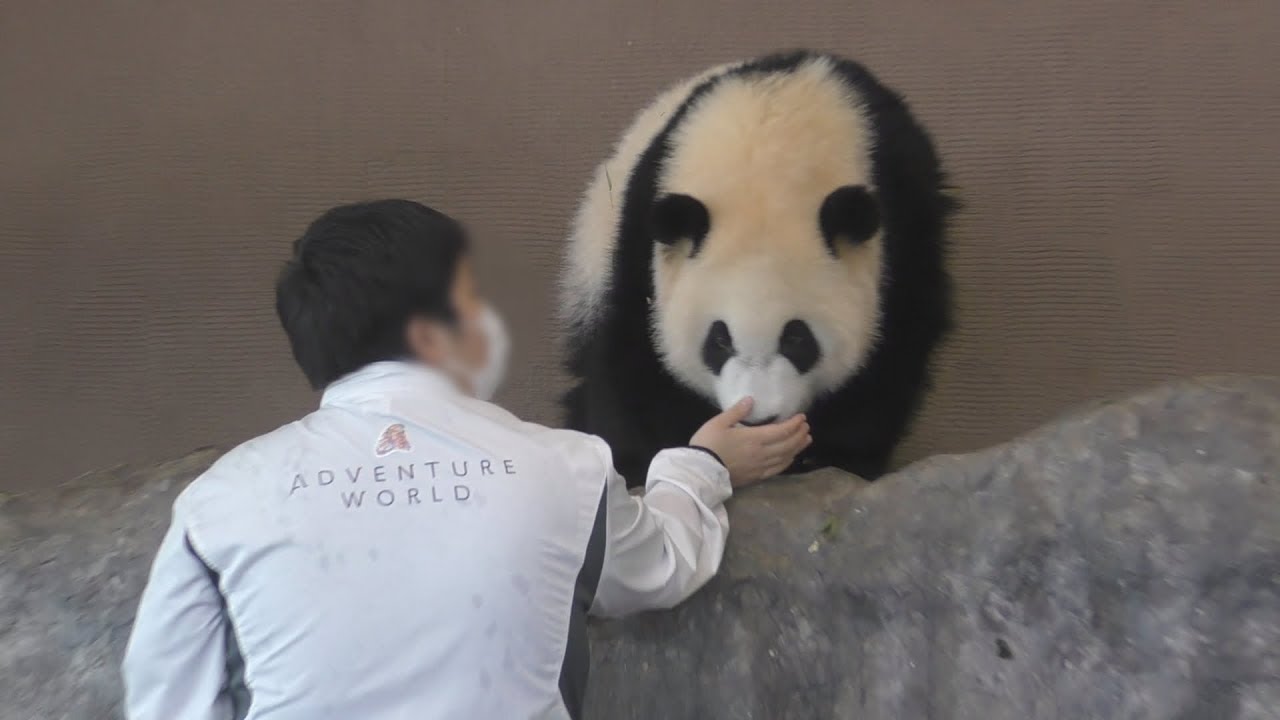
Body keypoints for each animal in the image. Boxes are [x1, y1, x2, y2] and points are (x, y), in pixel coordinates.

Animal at [559, 50, 953, 488]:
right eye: (719, 341)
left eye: (797, 338)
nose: (758, 420)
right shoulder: (641, 239)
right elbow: (633, 361)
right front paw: (639, 461)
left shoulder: (904, 226)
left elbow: (890, 354)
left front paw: (831, 455)